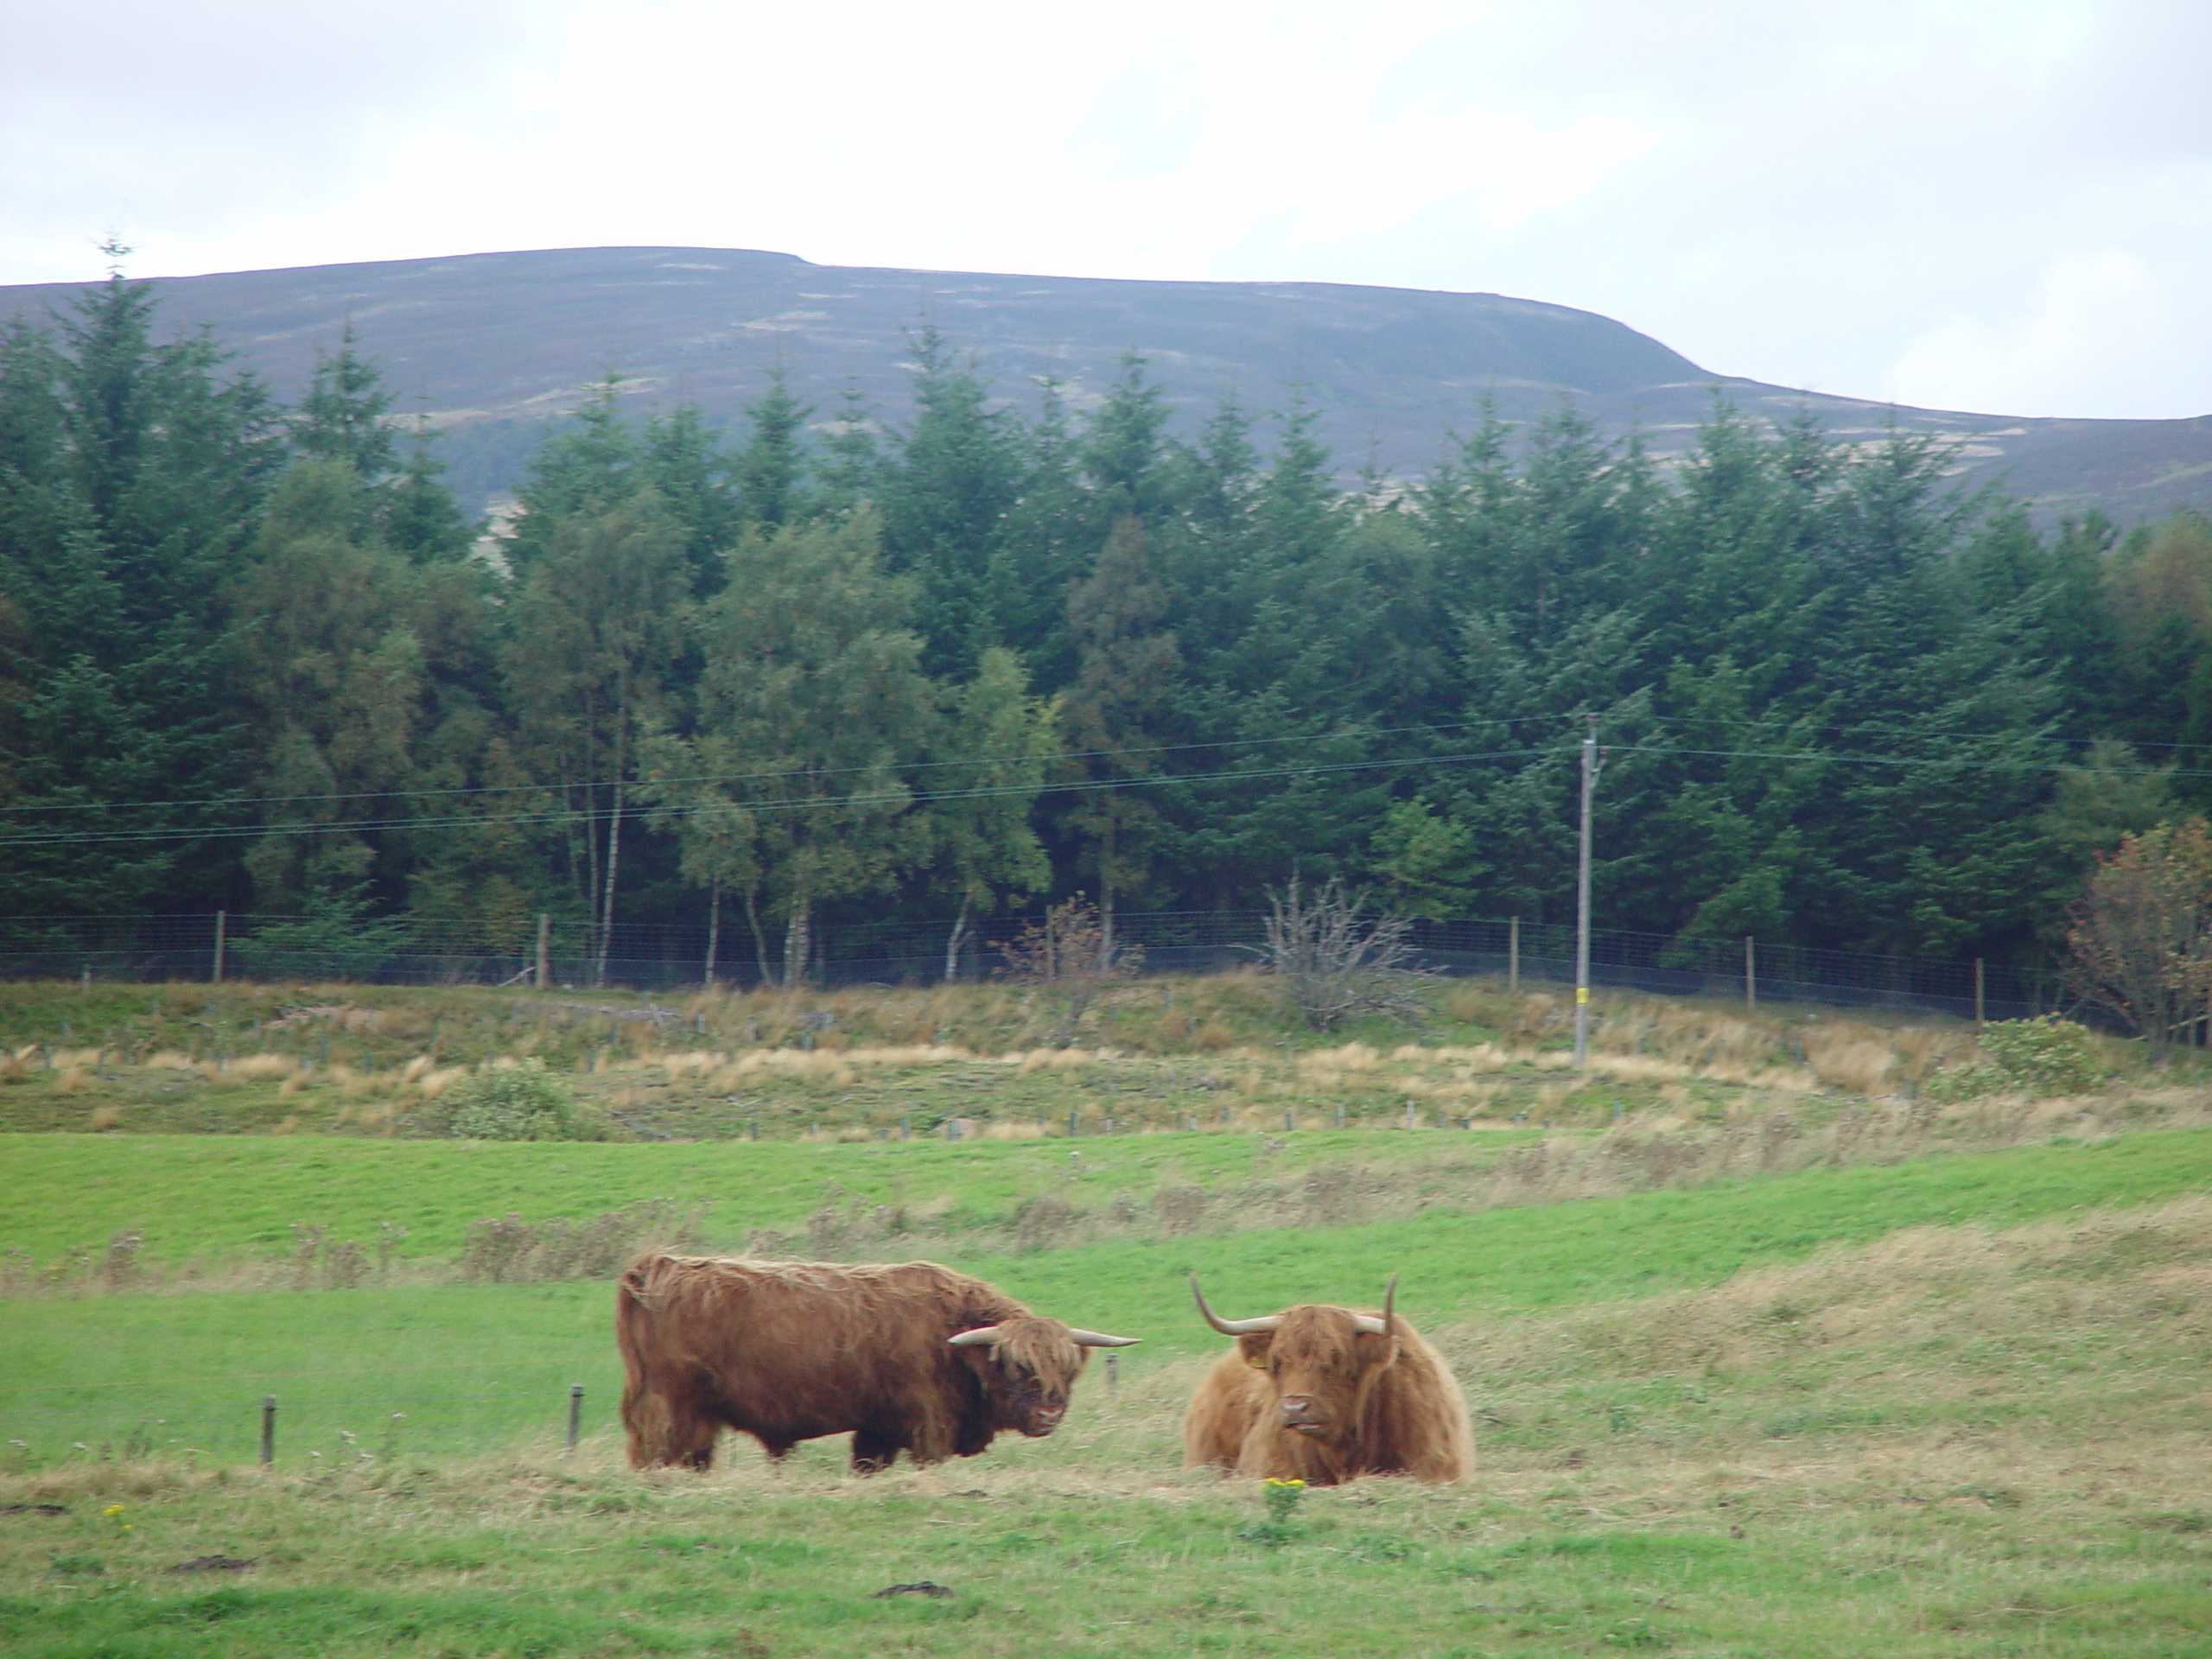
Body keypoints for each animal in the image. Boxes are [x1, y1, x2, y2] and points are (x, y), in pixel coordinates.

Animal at [623, 1256, 1141, 1478]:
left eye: (1067, 1367)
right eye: (1014, 1365)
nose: (1049, 1413)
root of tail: (657, 1265)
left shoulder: (877, 1430)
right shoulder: (931, 1428)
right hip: (669, 1412)